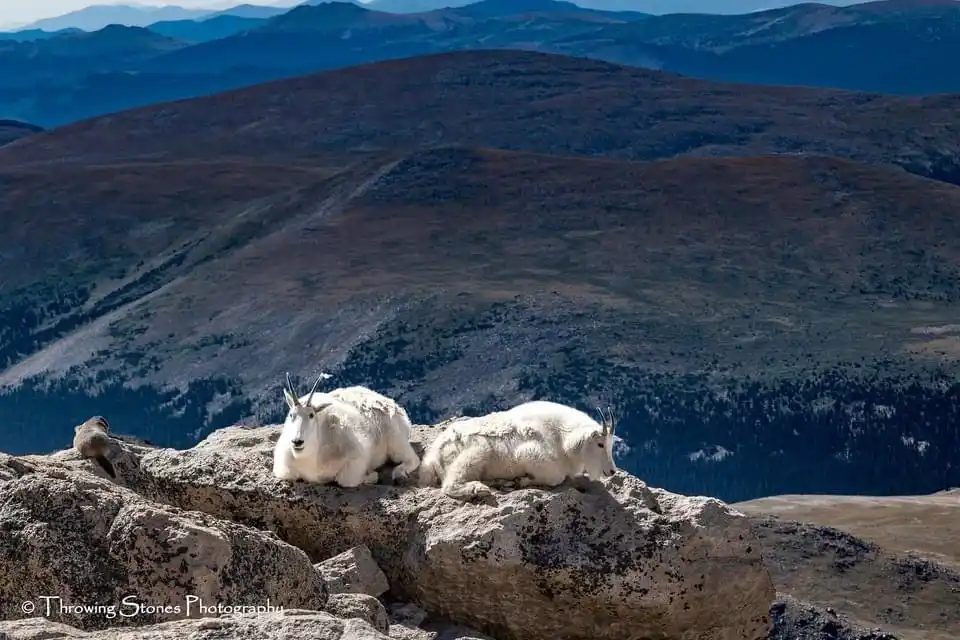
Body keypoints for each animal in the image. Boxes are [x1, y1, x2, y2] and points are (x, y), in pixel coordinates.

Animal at [272, 373, 420, 487]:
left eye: (311, 415)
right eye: (291, 415)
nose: (297, 442)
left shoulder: (356, 457)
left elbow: (345, 480)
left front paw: (372, 475)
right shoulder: (283, 467)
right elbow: (288, 474)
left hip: (395, 438)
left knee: (412, 459)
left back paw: (398, 474)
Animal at [418, 400, 618, 500]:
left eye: (610, 445)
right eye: (600, 444)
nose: (611, 471)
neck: (562, 438)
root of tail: (433, 457)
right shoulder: (530, 455)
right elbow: (556, 478)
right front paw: (522, 481)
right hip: (477, 450)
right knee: (450, 483)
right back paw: (479, 489)